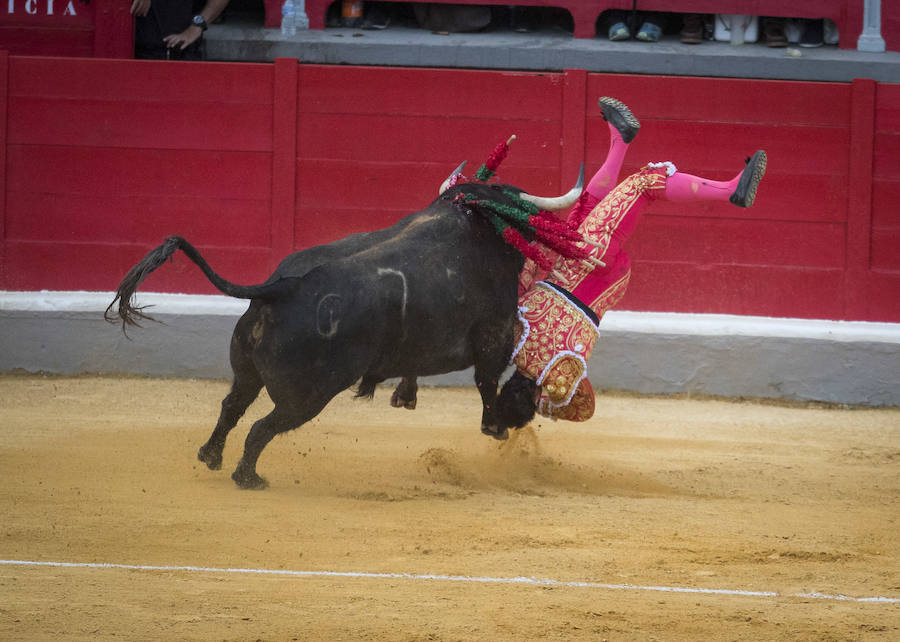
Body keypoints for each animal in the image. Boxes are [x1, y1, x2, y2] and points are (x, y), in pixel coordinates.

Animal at [107, 164, 584, 484]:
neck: (477, 223)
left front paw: (405, 395)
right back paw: (248, 478)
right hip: (308, 395)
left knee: (232, 407)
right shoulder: (494, 337)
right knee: (263, 427)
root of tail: (282, 288)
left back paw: (211, 456)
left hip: (247, 369)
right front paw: (497, 427)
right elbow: (488, 382)